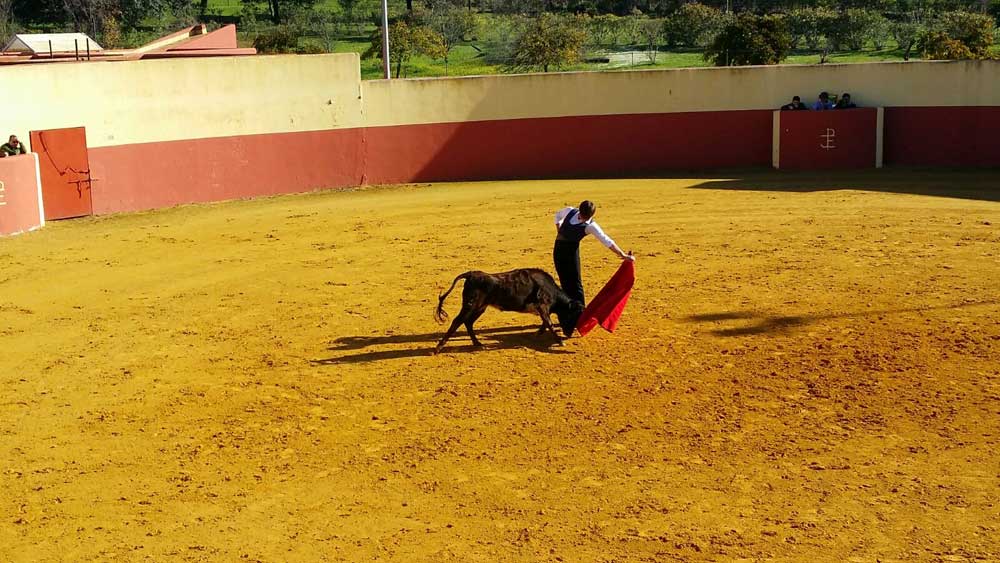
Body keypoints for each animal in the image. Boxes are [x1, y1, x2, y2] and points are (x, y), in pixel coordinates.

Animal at [434, 268, 584, 352]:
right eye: (572, 316)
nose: (568, 334)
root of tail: (471, 274)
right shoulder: (543, 306)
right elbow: (550, 324)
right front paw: (560, 341)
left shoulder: (543, 309)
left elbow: (545, 323)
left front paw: (537, 333)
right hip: (470, 305)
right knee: (457, 321)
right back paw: (438, 348)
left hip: (480, 307)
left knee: (468, 322)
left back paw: (478, 344)